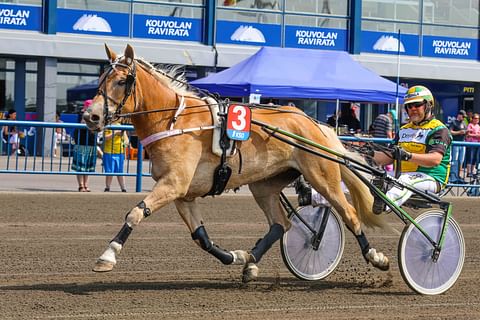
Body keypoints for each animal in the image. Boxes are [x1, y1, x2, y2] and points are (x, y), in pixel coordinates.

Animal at [83, 44, 390, 282]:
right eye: (101, 78)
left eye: (121, 81)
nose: (91, 116)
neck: (174, 120)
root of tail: (315, 124)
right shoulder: (183, 194)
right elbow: (201, 237)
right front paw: (235, 255)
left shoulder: (173, 184)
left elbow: (135, 213)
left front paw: (107, 255)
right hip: (264, 186)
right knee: (280, 224)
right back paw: (251, 262)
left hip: (322, 176)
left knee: (349, 214)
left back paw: (375, 256)